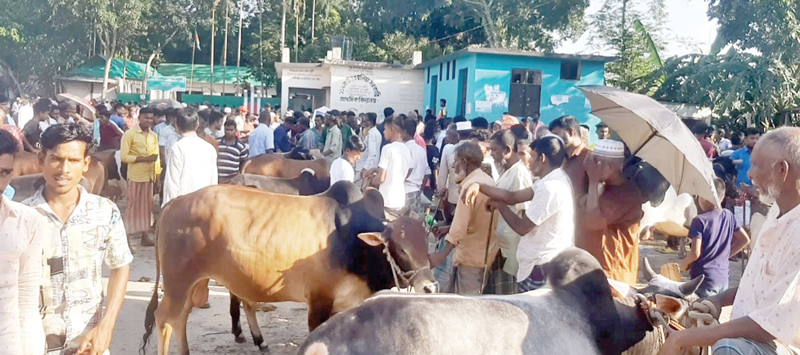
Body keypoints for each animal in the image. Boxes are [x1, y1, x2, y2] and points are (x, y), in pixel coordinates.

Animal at [139, 182, 438, 354]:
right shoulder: (318, 301)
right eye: (401, 248)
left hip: (191, 285)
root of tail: (173, 204)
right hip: (178, 283)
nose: (430, 286)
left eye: (426, 244)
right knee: (165, 318)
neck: (350, 238)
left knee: (180, 318)